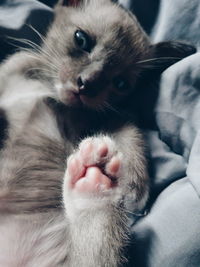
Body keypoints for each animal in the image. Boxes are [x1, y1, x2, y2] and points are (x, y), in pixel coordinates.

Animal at [0, 0, 195, 267]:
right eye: (81, 39)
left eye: (121, 83)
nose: (85, 84)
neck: (50, 93)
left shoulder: (114, 116)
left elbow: (132, 135)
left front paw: (135, 188)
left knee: (94, 253)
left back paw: (93, 181)